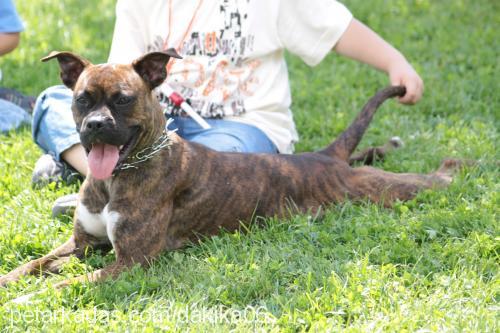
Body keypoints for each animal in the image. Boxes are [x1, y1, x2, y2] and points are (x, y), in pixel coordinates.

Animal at [0, 50, 462, 296]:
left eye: (123, 99)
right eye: (82, 98)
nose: (95, 125)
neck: (117, 177)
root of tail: (324, 158)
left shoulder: (131, 263)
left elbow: (62, 284)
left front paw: (29, 300)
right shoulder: (80, 246)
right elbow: (33, 266)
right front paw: (10, 281)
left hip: (378, 190)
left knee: (433, 180)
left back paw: (456, 166)